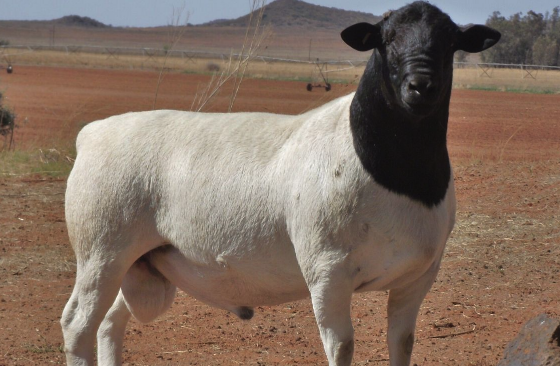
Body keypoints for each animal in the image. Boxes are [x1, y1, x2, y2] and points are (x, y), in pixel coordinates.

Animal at [60, 1, 498, 364]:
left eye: (450, 42)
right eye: (386, 39)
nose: (421, 87)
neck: (395, 172)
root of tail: (92, 133)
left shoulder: (418, 278)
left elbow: (402, 344)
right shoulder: (328, 274)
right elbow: (342, 347)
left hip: (139, 263)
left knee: (109, 323)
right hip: (102, 250)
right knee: (77, 324)